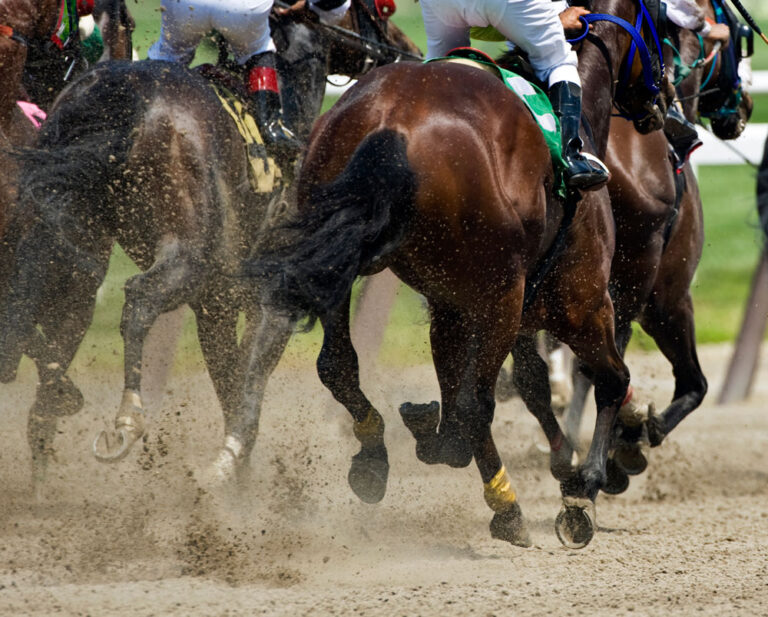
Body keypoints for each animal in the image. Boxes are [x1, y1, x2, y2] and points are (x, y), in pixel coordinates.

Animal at [0, 4, 420, 490]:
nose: (406, 50)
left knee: (32, 306)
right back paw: (126, 420)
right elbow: (249, 385)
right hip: (185, 254)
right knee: (139, 299)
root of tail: (123, 99)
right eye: (373, 9)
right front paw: (231, 466)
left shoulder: (215, 303)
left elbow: (230, 382)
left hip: (67, 242)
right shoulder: (268, 297)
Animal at [247, 0, 668, 548]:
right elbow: (611, 380)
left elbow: (462, 396)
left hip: (341, 255)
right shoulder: (582, 302)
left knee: (339, 366)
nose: (665, 105)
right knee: (474, 405)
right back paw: (504, 503)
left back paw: (377, 457)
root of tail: (393, 120)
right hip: (505, 295)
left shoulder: (450, 303)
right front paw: (584, 491)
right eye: (662, 22)